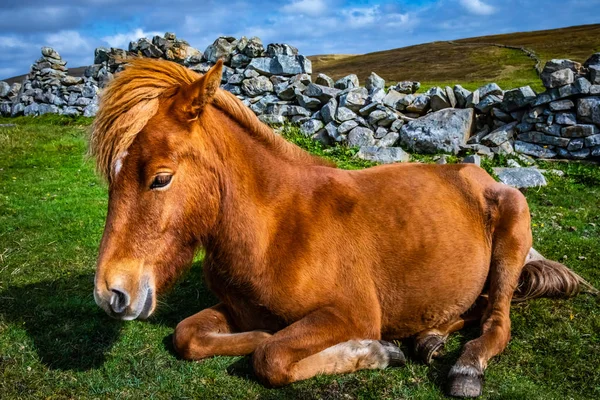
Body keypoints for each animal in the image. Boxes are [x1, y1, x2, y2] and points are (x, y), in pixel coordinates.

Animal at [89, 57, 596, 396]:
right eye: (111, 177)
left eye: (160, 178)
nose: (111, 293)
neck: (275, 229)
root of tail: (481, 177)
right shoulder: (236, 308)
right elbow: (189, 336)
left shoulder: (351, 314)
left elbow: (270, 355)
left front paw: (373, 352)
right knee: (477, 305)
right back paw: (428, 337)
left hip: (513, 233)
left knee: (497, 321)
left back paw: (463, 367)